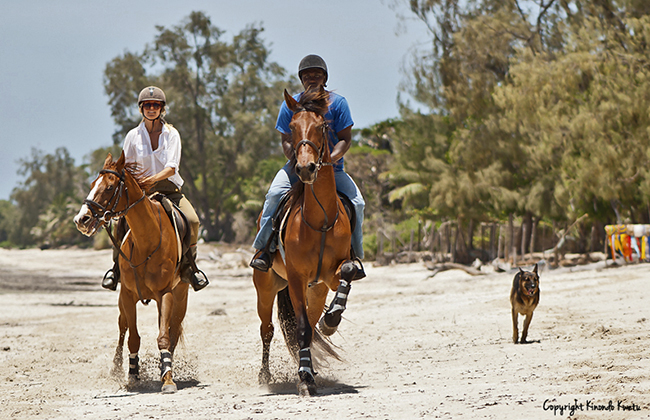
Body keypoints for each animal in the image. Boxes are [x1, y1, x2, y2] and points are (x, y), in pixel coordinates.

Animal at [75, 152, 190, 394]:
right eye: (92, 184)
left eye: (109, 187)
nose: (82, 220)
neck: (146, 242)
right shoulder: (127, 296)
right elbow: (133, 338)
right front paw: (133, 375)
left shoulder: (165, 294)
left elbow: (164, 337)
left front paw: (167, 378)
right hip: (122, 301)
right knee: (122, 328)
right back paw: (116, 368)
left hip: (180, 297)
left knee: (173, 331)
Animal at [252, 87, 356, 396]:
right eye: (292, 127)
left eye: (322, 127)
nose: (305, 168)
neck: (319, 220)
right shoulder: (297, 279)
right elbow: (301, 330)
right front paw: (305, 380)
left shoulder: (330, 276)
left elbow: (347, 272)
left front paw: (332, 320)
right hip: (266, 287)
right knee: (267, 330)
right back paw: (266, 375)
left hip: (316, 290)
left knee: (309, 321)